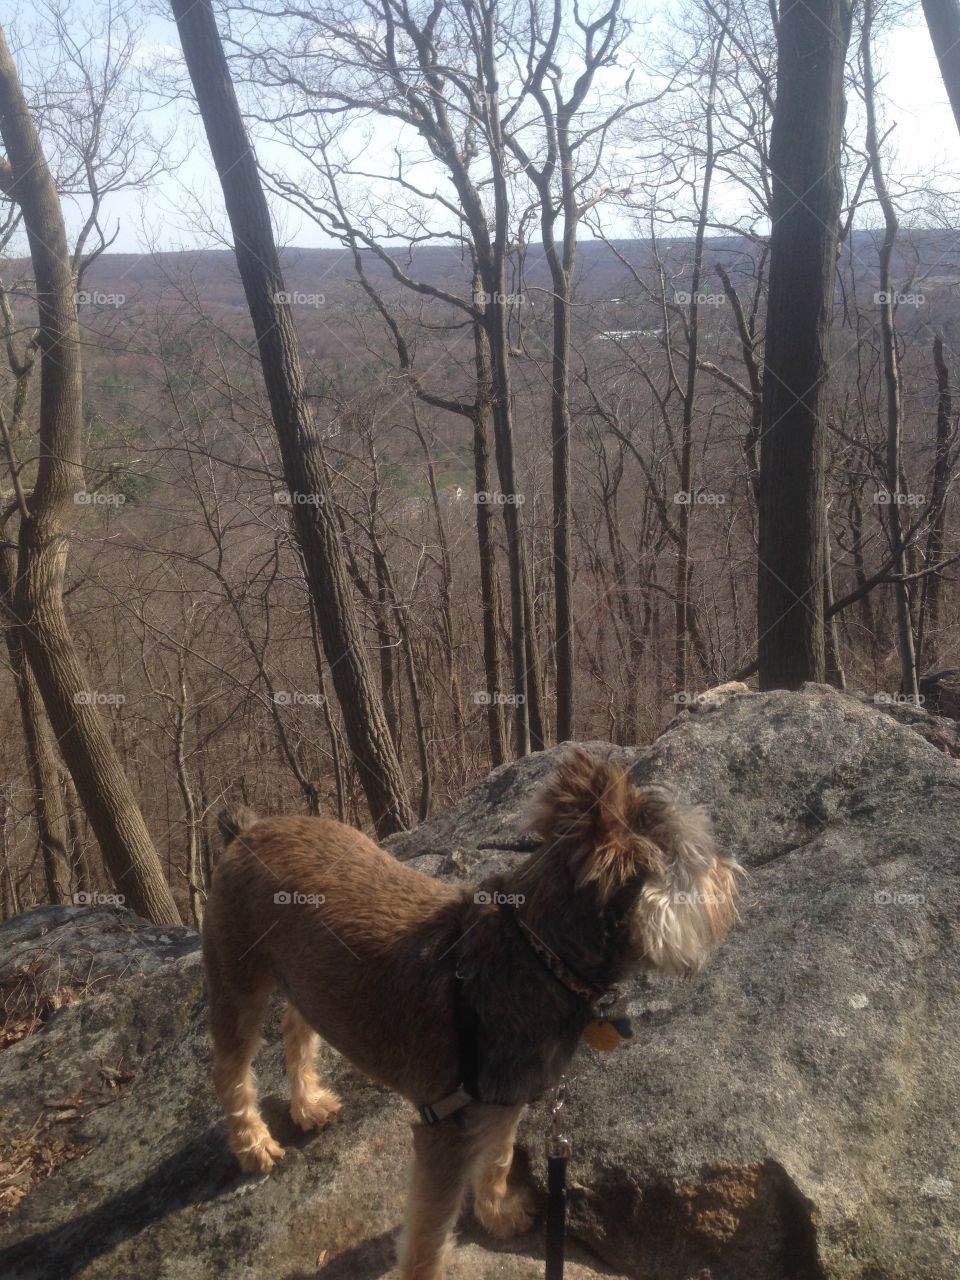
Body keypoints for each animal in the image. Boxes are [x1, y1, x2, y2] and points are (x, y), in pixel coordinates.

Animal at [204, 747, 742, 1280]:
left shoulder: (505, 1102)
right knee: (231, 1070)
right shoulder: (446, 1130)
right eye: (697, 858)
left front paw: (498, 1212)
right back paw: (252, 1143)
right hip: (237, 983)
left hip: (306, 978)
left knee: (297, 1024)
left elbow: (498, 1158)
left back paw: (308, 1103)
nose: (731, 874)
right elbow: (427, 1241)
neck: (537, 952)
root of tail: (247, 831)